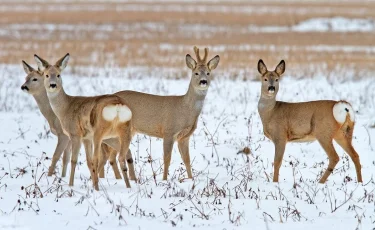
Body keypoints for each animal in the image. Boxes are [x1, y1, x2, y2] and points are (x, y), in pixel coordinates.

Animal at [33, 54, 134, 190]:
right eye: (47, 75)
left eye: (59, 75)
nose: (53, 85)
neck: (65, 107)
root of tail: (118, 105)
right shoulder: (86, 138)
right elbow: (88, 161)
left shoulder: (75, 134)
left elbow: (74, 160)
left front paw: (70, 185)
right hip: (121, 132)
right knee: (122, 156)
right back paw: (127, 187)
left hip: (100, 132)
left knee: (98, 158)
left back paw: (97, 188)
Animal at [114, 46, 220, 180]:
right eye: (195, 73)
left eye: (208, 73)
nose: (203, 81)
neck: (185, 109)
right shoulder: (169, 131)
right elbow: (167, 159)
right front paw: (164, 179)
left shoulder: (185, 136)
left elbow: (187, 159)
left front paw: (191, 179)